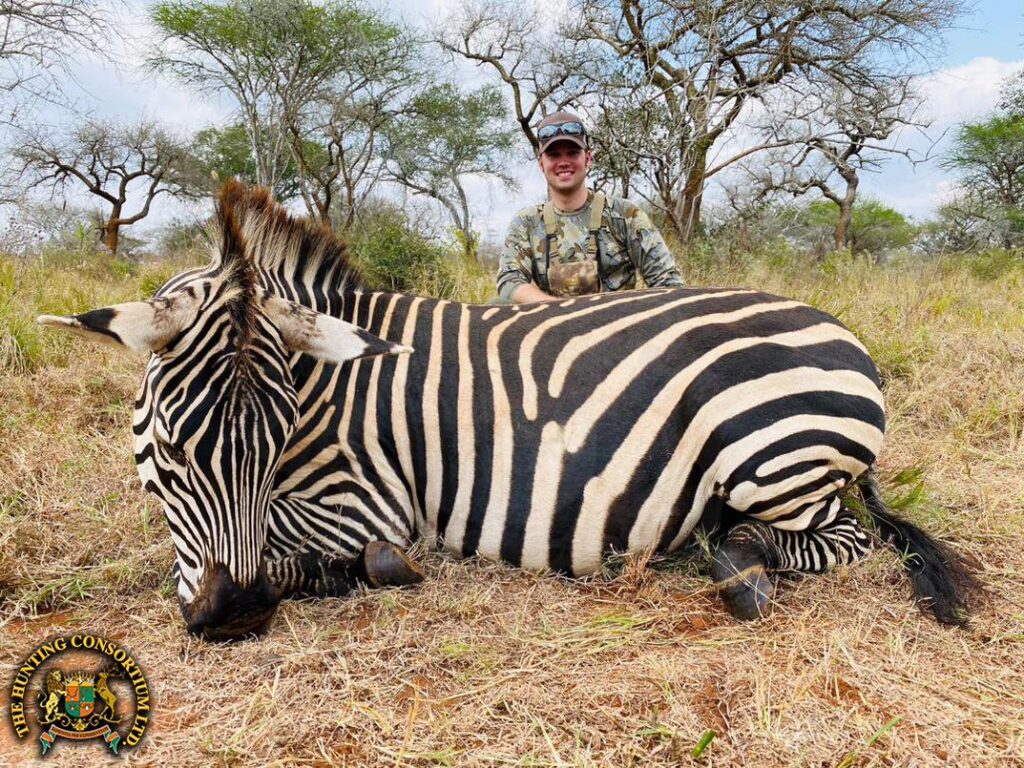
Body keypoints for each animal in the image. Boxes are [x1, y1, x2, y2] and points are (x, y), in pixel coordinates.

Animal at [39, 181, 977, 640]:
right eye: (168, 453)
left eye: (274, 445)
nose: (233, 619)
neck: (330, 390)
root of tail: (840, 330)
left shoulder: (374, 500)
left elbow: (317, 553)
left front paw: (366, 569)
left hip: (774, 454)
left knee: (839, 542)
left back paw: (739, 565)